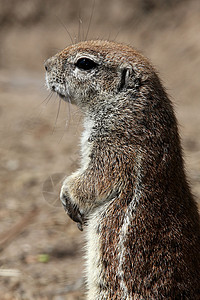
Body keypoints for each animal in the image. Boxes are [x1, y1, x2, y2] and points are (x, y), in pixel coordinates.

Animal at [44, 40, 199, 300]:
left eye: (84, 63)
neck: (127, 109)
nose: (46, 65)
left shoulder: (115, 151)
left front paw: (67, 197)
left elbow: (93, 181)